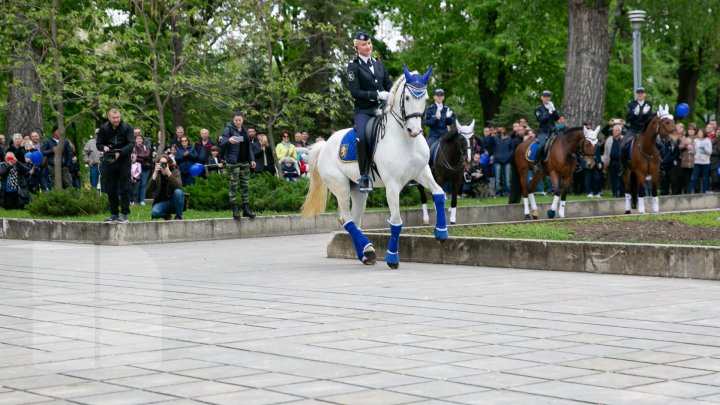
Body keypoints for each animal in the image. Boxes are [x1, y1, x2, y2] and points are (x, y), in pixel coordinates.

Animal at [300, 65, 448, 268]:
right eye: (407, 98)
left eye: (425, 98)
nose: (415, 131)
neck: (405, 140)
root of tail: (325, 145)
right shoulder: (392, 185)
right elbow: (396, 222)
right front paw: (392, 258)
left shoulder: (421, 173)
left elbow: (439, 193)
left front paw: (441, 232)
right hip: (340, 186)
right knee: (347, 220)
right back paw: (368, 251)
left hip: (358, 190)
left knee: (355, 220)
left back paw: (365, 253)